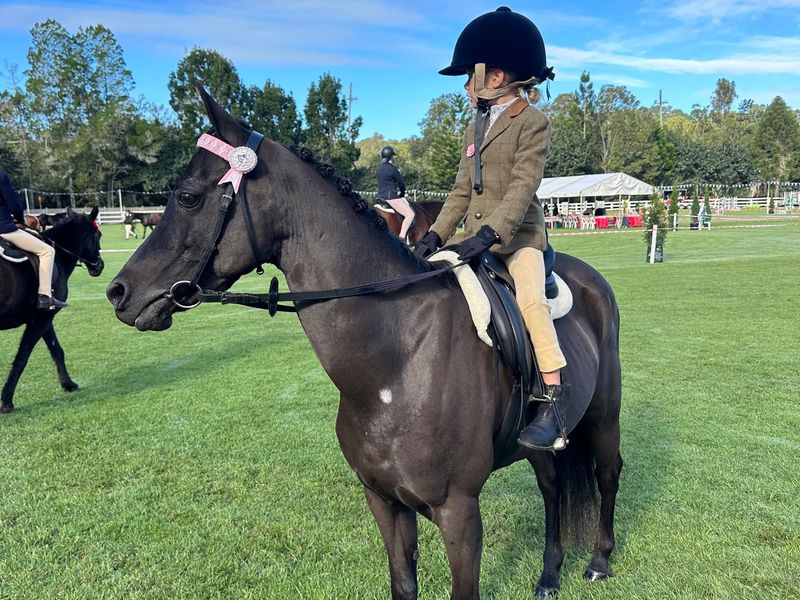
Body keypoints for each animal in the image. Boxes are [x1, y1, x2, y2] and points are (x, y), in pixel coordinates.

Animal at [0, 208, 104, 413]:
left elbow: (57, 350)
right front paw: (7, 400)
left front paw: (68, 384)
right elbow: (22, 357)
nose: (99, 266)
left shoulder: (43, 315)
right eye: (99, 235)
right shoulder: (43, 318)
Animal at [106, 89, 622, 598]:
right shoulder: (384, 502)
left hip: (602, 416)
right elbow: (403, 583)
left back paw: (598, 562)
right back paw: (550, 574)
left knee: (607, 473)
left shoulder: (459, 511)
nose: (119, 292)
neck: (396, 359)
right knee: (553, 487)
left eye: (188, 197)